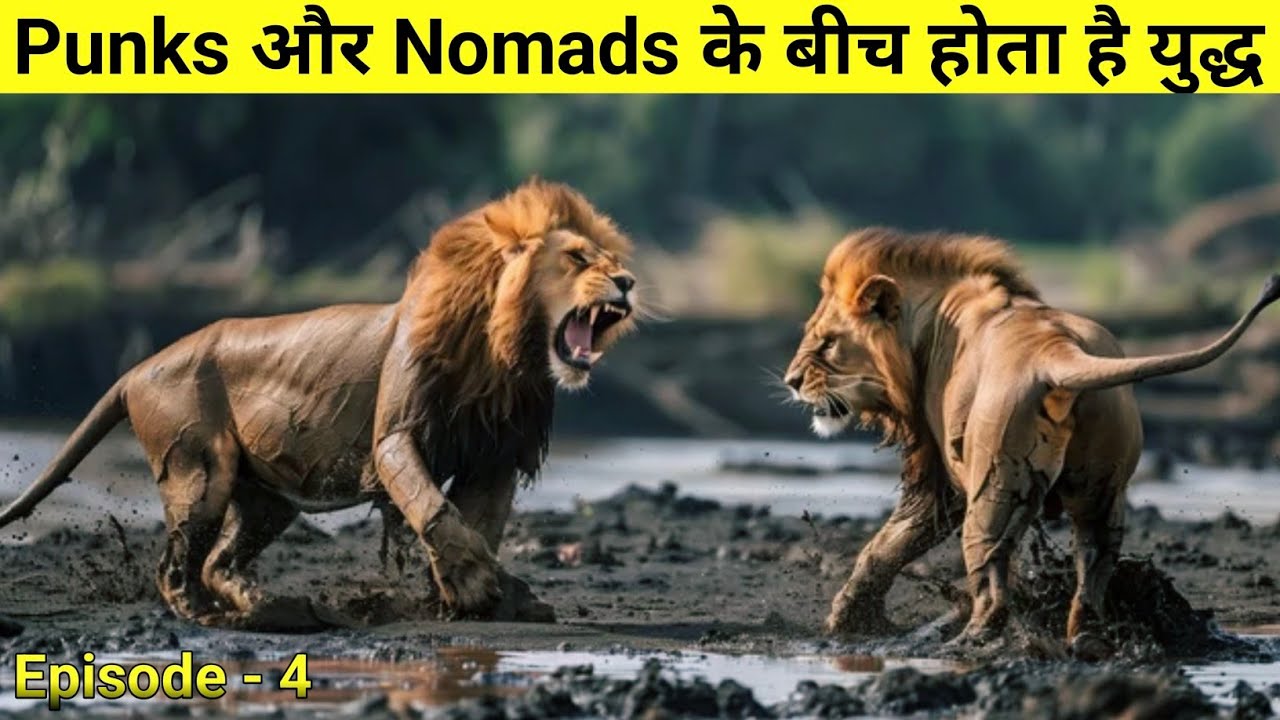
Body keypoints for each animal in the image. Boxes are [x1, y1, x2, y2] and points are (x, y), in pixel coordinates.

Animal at [0, 178, 640, 630]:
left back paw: (271, 604)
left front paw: (483, 597)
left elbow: (480, 521)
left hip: (266, 500)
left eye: (608, 259)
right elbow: (433, 507)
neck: (504, 356)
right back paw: (215, 613)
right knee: (176, 566)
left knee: (217, 561)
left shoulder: (496, 454)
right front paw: (475, 585)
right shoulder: (397, 434)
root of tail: (135, 368)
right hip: (198, 468)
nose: (629, 282)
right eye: (578, 258)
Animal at [782, 227, 1279, 657]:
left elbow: (889, 542)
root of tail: (1056, 350)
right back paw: (1086, 639)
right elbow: (887, 546)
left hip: (994, 488)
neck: (929, 323)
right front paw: (851, 621)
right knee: (1092, 575)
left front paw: (847, 622)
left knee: (992, 594)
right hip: (1104, 492)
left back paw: (960, 642)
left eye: (827, 344)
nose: (791, 381)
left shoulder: (941, 474)